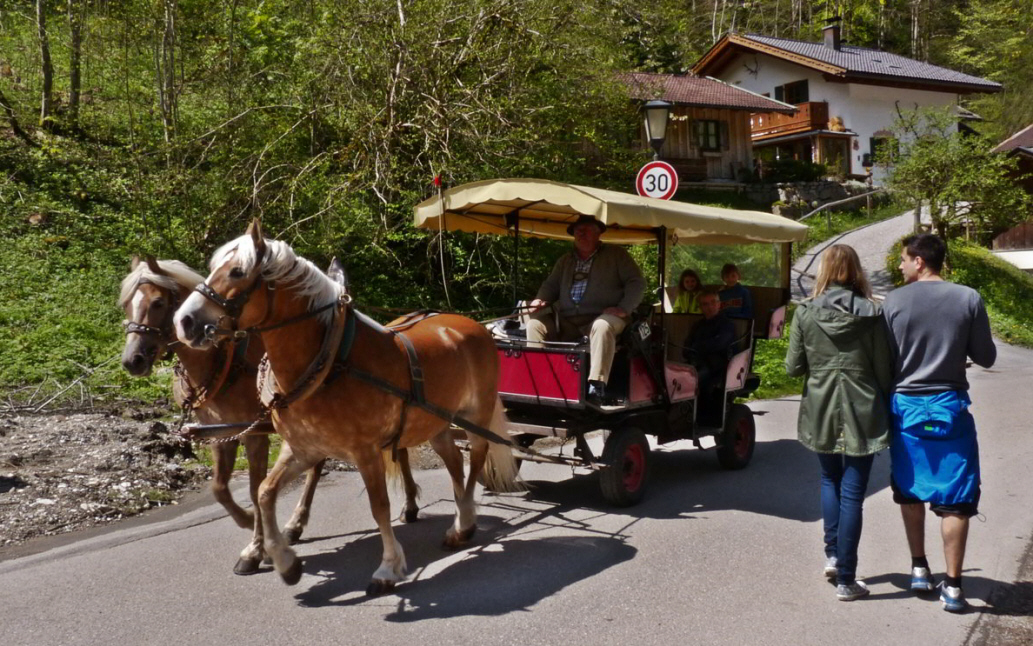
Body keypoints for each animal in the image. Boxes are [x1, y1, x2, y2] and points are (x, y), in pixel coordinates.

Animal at [174, 221, 524, 595]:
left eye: (237, 271)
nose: (184, 321)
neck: (329, 362)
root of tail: (472, 325)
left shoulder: (366, 450)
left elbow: (379, 506)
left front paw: (388, 568)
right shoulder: (303, 448)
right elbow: (265, 493)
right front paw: (284, 560)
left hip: (475, 416)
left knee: (477, 458)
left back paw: (464, 522)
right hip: (436, 423)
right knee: (455, 461)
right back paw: (461, 523)